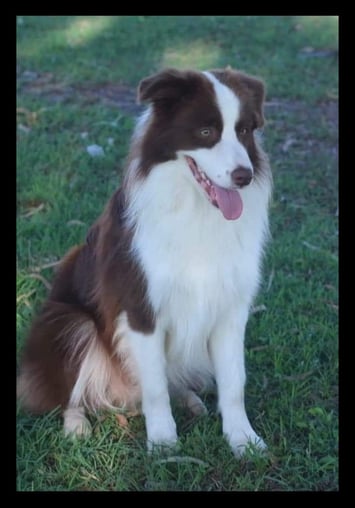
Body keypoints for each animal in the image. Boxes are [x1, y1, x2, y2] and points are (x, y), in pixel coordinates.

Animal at [16, 67, 272, 456]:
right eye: (206, 132)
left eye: (244, 130)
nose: (244, 176)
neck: (196, 210)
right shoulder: (140, 308)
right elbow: (154, 386)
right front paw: (163, 443)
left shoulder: (230, 307)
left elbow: (233, 381)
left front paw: (243, 439)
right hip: (67, 322)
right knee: (67, 391)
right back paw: (76, 424)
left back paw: (189, 399)